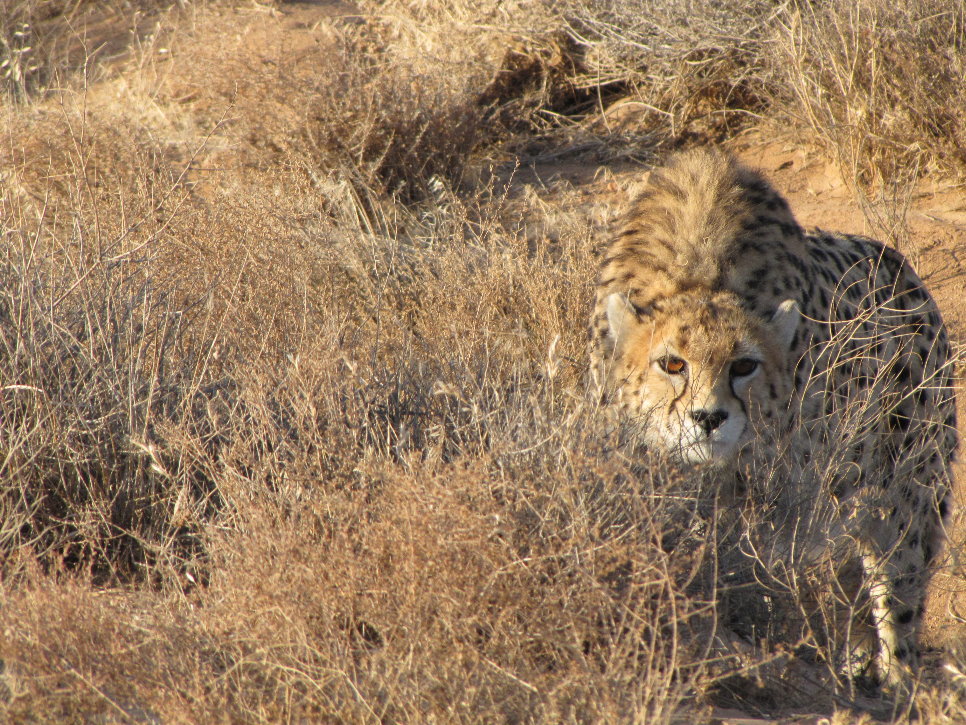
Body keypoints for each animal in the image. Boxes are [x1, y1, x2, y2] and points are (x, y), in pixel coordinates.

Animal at [588, 148, 957, 693]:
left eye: (744, 366)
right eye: (672, 364)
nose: (708, 418)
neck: (700, 275)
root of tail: (906, 275)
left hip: (906, 488)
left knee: (898, 580)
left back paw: (897, 679)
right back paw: (859, 662)